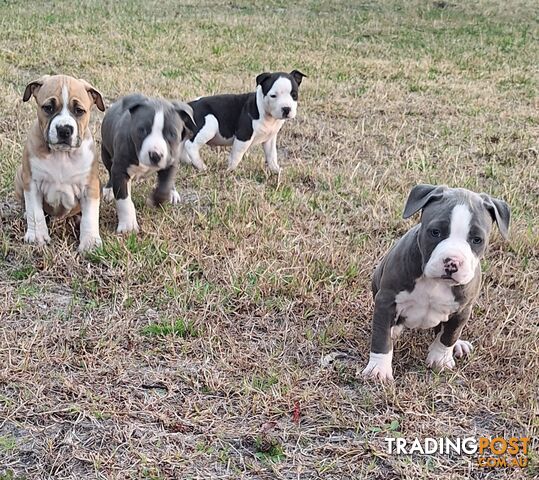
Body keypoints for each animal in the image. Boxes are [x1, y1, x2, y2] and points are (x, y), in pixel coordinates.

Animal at [14, 74, 105, 251]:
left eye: (79, 111)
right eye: (48, 108)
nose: (64, 129)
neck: (62, 155)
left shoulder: (90, 187)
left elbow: (90, 216)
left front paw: (90, 241)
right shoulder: (32, 183)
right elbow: (35, 212)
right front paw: (37, 236)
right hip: (20, 176)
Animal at [101, 93, 194, 232]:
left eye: (172, 134)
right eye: (142, 130)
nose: (155, 155)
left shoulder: (171, 162)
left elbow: (165, 185)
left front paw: (156, 200)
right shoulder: (120, 169)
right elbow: (124, 199)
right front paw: (128, 225)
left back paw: (173, 193)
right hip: (105, 153)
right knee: (109, 171)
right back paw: (109, 190)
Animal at [362, 185, 510, 382]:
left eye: (477, 239)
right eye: (435, 232)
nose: (452, 262)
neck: (435, 282)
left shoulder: (462, 310)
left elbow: (449, 335)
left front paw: (441, 359)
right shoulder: (386, 301)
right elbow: (381, 337)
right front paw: (378, 369)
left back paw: (458, 345)